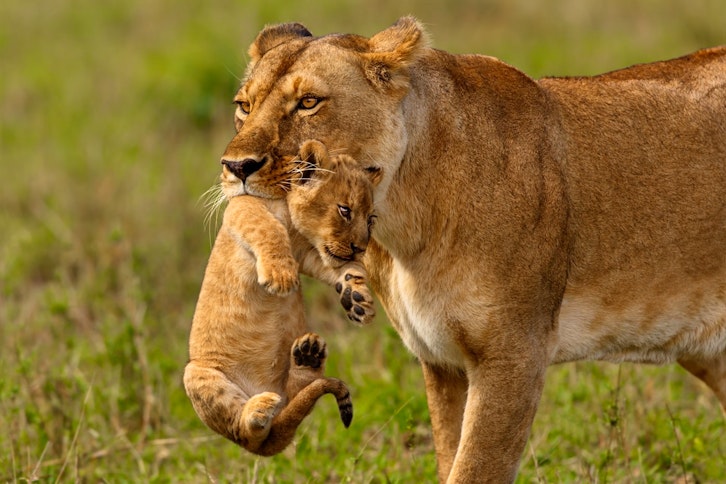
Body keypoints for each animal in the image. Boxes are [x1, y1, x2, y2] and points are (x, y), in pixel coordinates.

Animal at [183, 140, 381, 456]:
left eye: (371, 219)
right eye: (345, 210)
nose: (360, 248)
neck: (292, 222)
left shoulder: (307, 254)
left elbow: (344, 269)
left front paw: (357, 299)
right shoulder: (241, 207)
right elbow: (266, 227)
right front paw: (280, 277)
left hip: (289, 394)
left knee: (295, 396)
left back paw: (308, 356)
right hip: (197, 374)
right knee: (246, 433)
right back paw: (257, 411)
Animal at [217, 17, 726, 482]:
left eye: (309, 102)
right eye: (244, 106)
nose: (236, 166)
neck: (404, 220)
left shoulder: (514, 355)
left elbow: (474, 468)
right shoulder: (443, 362)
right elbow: (450, 457)